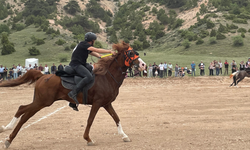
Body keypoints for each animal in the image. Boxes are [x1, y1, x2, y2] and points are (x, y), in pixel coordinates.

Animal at [0, 41, 146, 148]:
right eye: (130, 52)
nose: (143, 65)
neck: (107, 77)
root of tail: (42, 76)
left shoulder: (106, 103)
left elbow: (116, 118)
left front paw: (124, 136)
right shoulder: (97, 103)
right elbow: (90, 120)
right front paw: (88, 139)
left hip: (40, 102)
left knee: (23, 111)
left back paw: (7, 132)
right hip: (42, 102)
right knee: (23, 113)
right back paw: (8, 136)